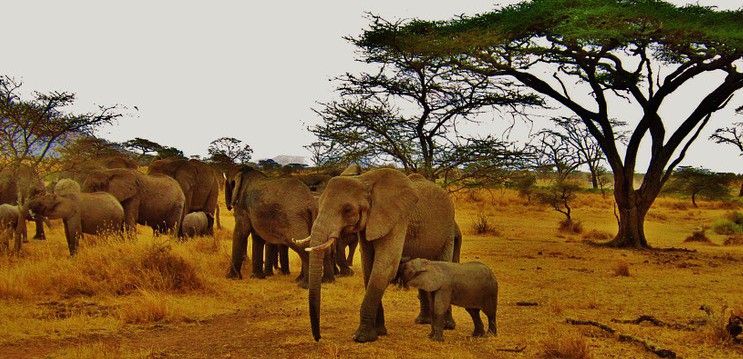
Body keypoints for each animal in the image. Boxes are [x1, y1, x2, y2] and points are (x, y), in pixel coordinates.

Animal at [300, 169, 462, 344]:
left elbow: (384, 268)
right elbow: (368, 268)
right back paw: (423, 321)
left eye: (348, 209)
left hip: (448, 231)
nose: (318, 338)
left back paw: (447, 326)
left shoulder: (398, 219)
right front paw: (379, 332)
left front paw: (362, 337)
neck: (364, 180)